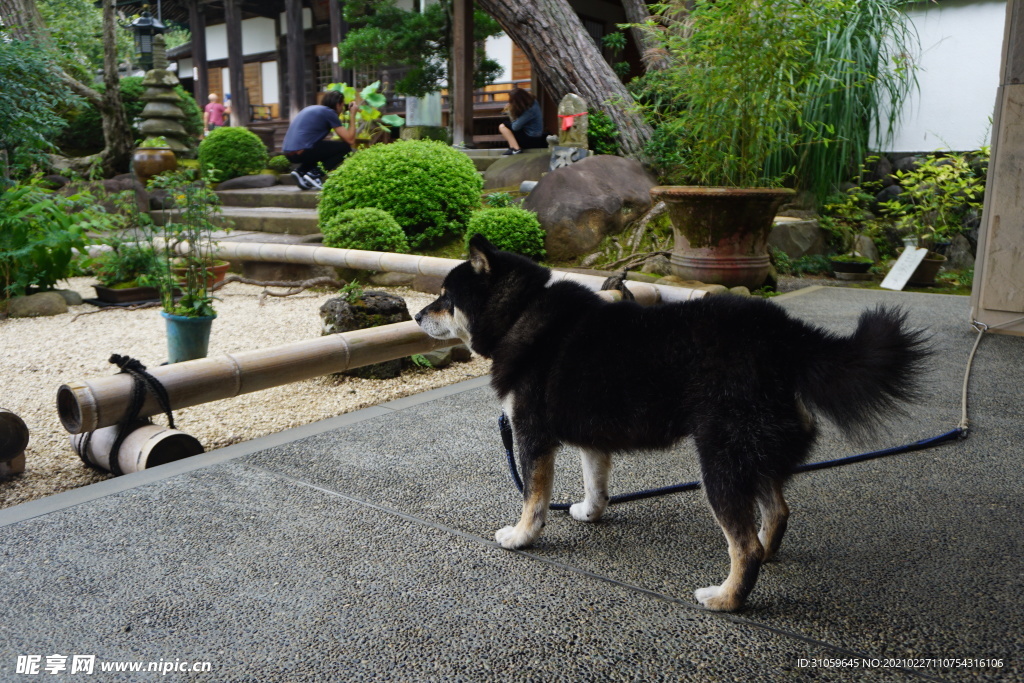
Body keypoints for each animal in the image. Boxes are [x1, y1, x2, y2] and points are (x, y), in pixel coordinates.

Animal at [413, 237, 929, 610]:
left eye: (445, 297)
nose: (417, 314)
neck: (521, 311)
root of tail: (782, 333)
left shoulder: (533, 436)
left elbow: (533, 499)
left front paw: (522, 537)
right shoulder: (592, 437)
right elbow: (596, 483)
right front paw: (590, 513)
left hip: (720, 460)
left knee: (744, 546)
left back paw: (726, 599)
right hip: (751, 453)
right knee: (778, 512)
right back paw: (766, 552)